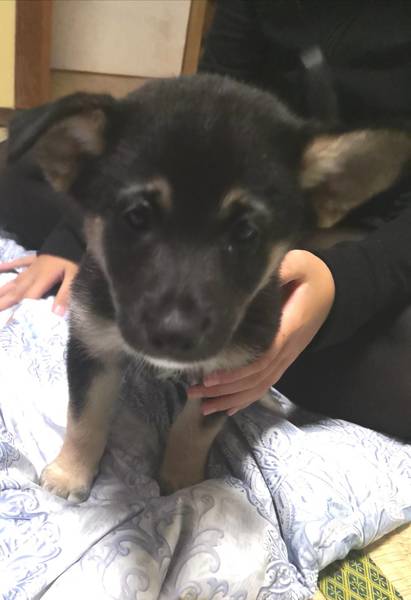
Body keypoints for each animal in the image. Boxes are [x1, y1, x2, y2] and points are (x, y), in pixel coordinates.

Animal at [8, 74, 411, 501]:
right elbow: (85, 417)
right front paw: (70, 473)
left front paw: (183, 482)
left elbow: (192, 433)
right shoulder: (93, 345)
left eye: (246, 233)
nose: (173, 333)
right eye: (136, 217)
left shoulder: (228, 375)